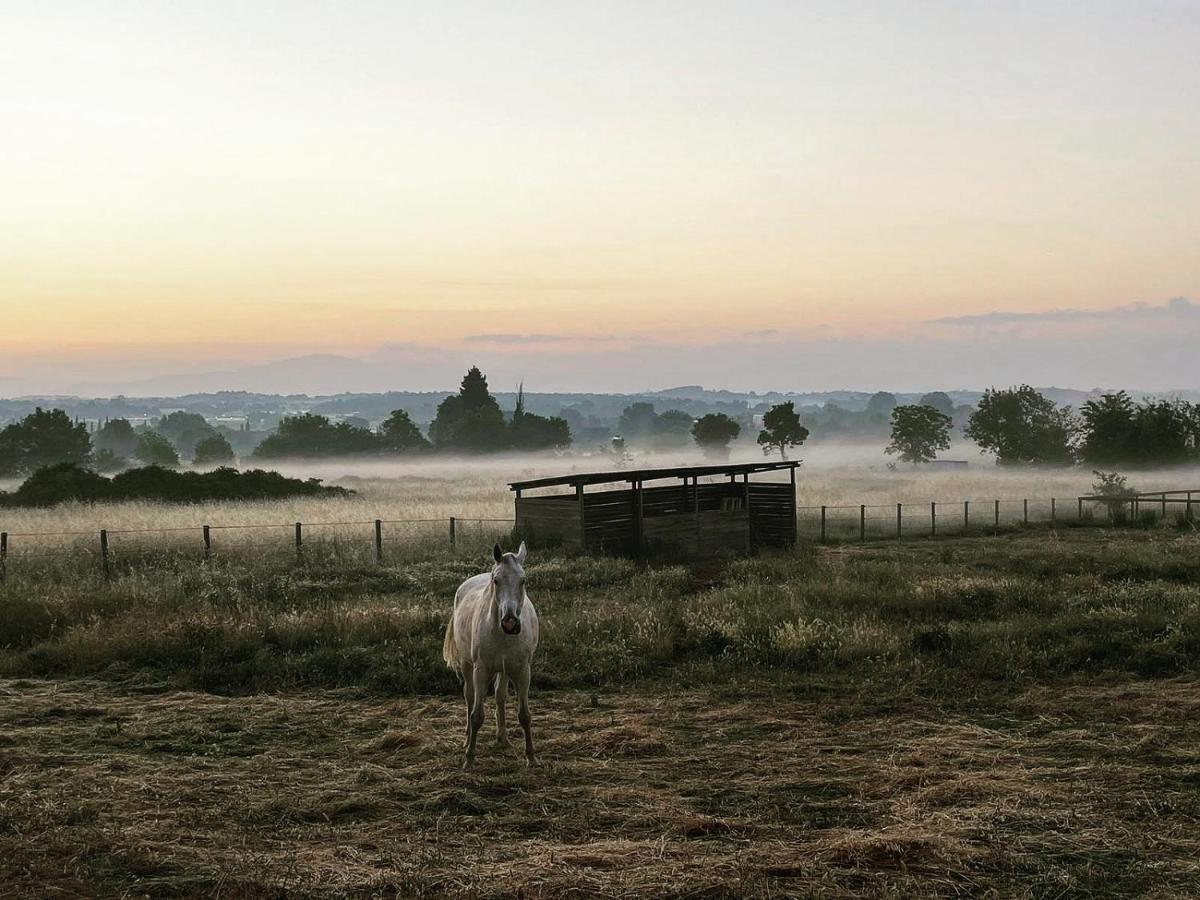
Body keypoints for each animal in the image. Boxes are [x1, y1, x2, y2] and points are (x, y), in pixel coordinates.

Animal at [441, 542, 540, 768]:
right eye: (496, 580)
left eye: (523, 580)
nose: (510, 622)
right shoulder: (481, 670)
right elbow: (477, 715)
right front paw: (469, 757)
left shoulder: (523, 671)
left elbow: (524, 715)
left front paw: (531, 757)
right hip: (468, 666)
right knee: (469, 697)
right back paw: (467, 737)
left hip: (503, 669)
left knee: (499, 696)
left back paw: (502, 738)